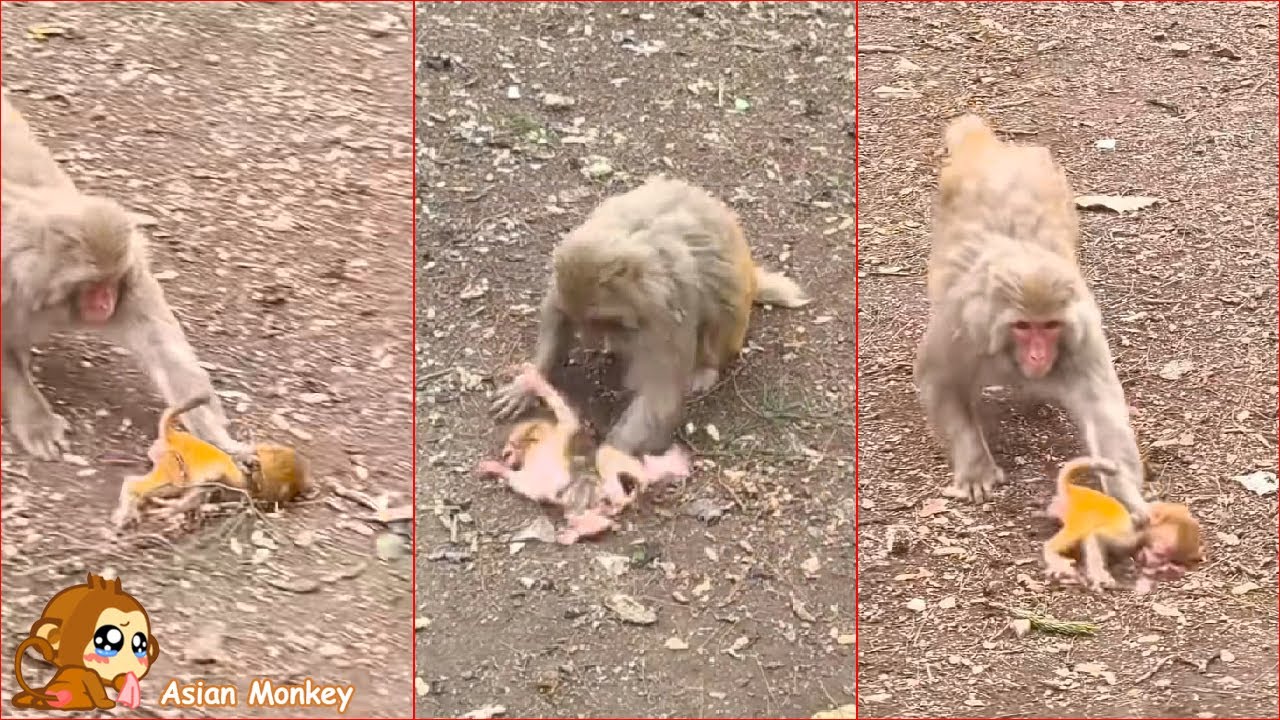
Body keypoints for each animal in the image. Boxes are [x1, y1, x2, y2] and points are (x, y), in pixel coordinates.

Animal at [1, 93, 244, 461]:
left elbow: (161, 344)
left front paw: (212, 432)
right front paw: (36, 421)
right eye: (93, 285)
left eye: (111, 283)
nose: (105, 304)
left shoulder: (132, 275)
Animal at [490, 176, 810, 455]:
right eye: (583, 321)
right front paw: (531, 381)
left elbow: (659, 391)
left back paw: (705, 368)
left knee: (722, 303)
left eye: (601, 320)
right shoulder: (565, 282)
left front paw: (609, 458)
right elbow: (555, 312)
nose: (593, 339)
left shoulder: (664, 315)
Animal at [914, 114, 1148, 520]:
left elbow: (1102, 407)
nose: (1039, 355)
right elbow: (939, 379)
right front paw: (975, 466)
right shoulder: (961, 330)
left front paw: (1122, 495)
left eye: (1050, 325)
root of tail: (994, 151)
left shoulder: (1083, 336)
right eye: (1023, 326)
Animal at [1044, 457, 1203, 592]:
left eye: (1168, 558)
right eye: (1160, 552)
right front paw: (1100, 576)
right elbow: (1096, 536)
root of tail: (1073, 490)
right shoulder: (1130, 537)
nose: (1153, 561)